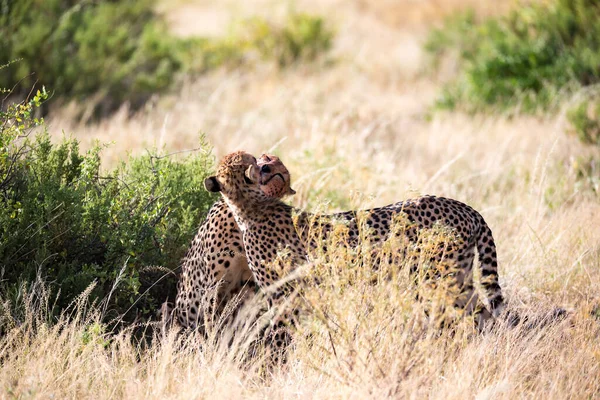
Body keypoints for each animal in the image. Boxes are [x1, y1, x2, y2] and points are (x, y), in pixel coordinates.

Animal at [165, 153, 294, 332]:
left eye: (280, 176)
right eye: (266, 158)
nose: (265, 168)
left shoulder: (245, 283)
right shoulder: (212, 285)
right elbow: (212, 320)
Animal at [204, 151, 504, 340]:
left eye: (278, 172)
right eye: (265, 160)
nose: (264, 168)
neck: (254, 207)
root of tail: (464, 206)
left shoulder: (284, 296)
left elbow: (281, 334)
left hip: (436, 281)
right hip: (457, 280)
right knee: (482, 314)